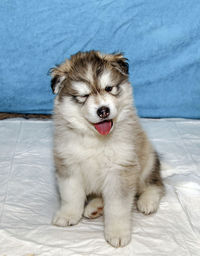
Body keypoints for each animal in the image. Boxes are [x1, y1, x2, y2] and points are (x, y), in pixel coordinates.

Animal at [50, 50, 164, 248]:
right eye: (84, 95)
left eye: (109, 88)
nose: (103, 110)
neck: (96, 139)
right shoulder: (68, 164)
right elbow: (70, 194)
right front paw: (68, 214)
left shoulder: (120, 169)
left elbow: (117, 207)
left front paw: (117, 233)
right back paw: (95, 206)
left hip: (147, 158)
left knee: (155, 184)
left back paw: (147, 201)